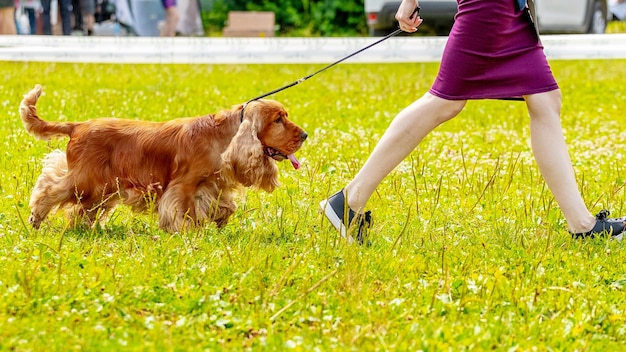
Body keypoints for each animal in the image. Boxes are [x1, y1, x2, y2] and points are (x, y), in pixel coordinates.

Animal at [20, 85, 308, 232]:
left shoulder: (210, 184)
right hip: (85, 179)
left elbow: (223, 206)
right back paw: (36, 219)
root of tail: (77, 125)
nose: (305, 135)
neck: (223, 134)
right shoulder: (184, 186)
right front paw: (189, 233)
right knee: (49, 189)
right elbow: (185, 211)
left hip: (101, 188)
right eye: (278, 119)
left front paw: (219, 221)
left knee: (81, 207)